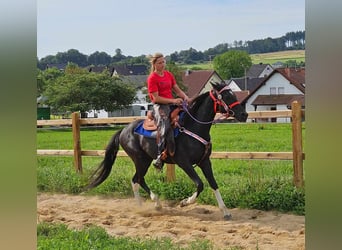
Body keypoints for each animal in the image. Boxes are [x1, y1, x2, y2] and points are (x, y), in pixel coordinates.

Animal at [84, 82, 247, 219]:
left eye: (233, 94)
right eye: (226, 96)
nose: (244, 114)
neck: (193, 126)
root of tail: (123, 130)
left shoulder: (205, 161)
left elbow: (213, 184)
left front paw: (225, 211)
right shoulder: (184, 163)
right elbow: (200, 184)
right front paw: (184, 202)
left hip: (144, 160)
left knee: (137, 179)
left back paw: (148, 205)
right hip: (140, 160)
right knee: (137, 179)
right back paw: (149, 204)